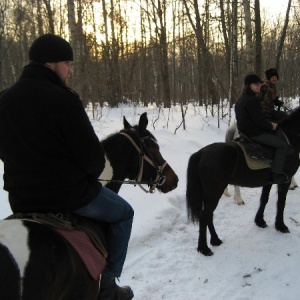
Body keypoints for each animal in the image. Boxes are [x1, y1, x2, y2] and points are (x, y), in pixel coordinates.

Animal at [185, 107, 300, 255]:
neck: (291, 138)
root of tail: (201, 153)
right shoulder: (285, 181)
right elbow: (281, 203)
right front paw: (281, 226)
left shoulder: (269, 182)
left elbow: (264, 199)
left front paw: (260, 221)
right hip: (214, 192)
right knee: (205, 216)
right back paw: (204, 248)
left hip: (210, 194)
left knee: (208, 215)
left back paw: (215, 240)